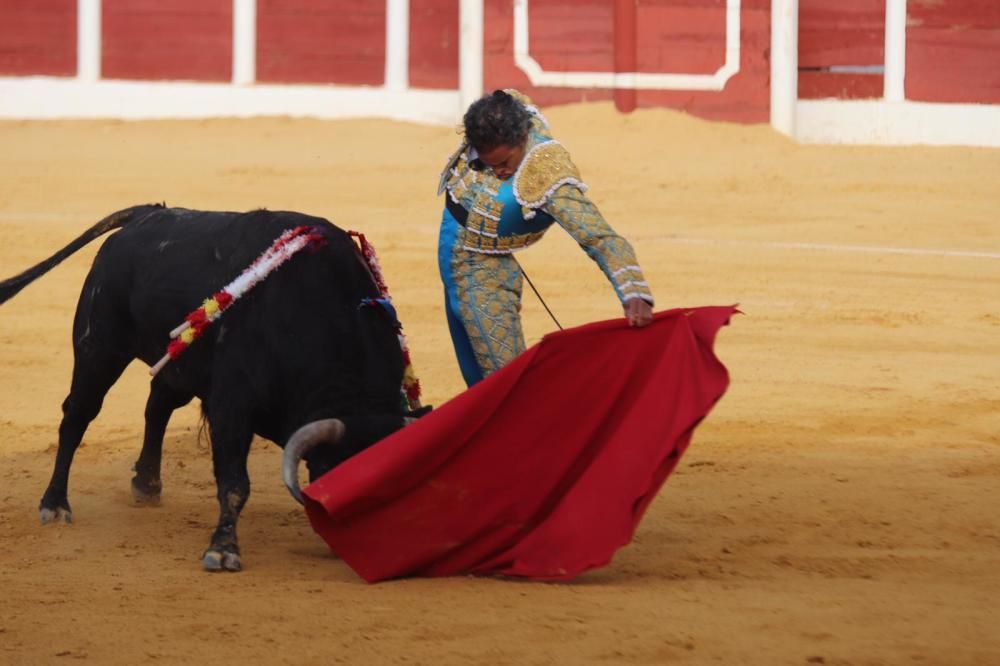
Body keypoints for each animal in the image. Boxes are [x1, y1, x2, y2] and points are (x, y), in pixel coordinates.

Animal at [0, 204, 418, 572]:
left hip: (178, 365)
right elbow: (234, 483)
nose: (356, 541)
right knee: (77, 415)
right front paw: (222, 551)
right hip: (99, 347)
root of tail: (146, 213)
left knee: (157, 406)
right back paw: (55, 504)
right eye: (333, 470)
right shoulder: (232, 405)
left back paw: (147, 483)